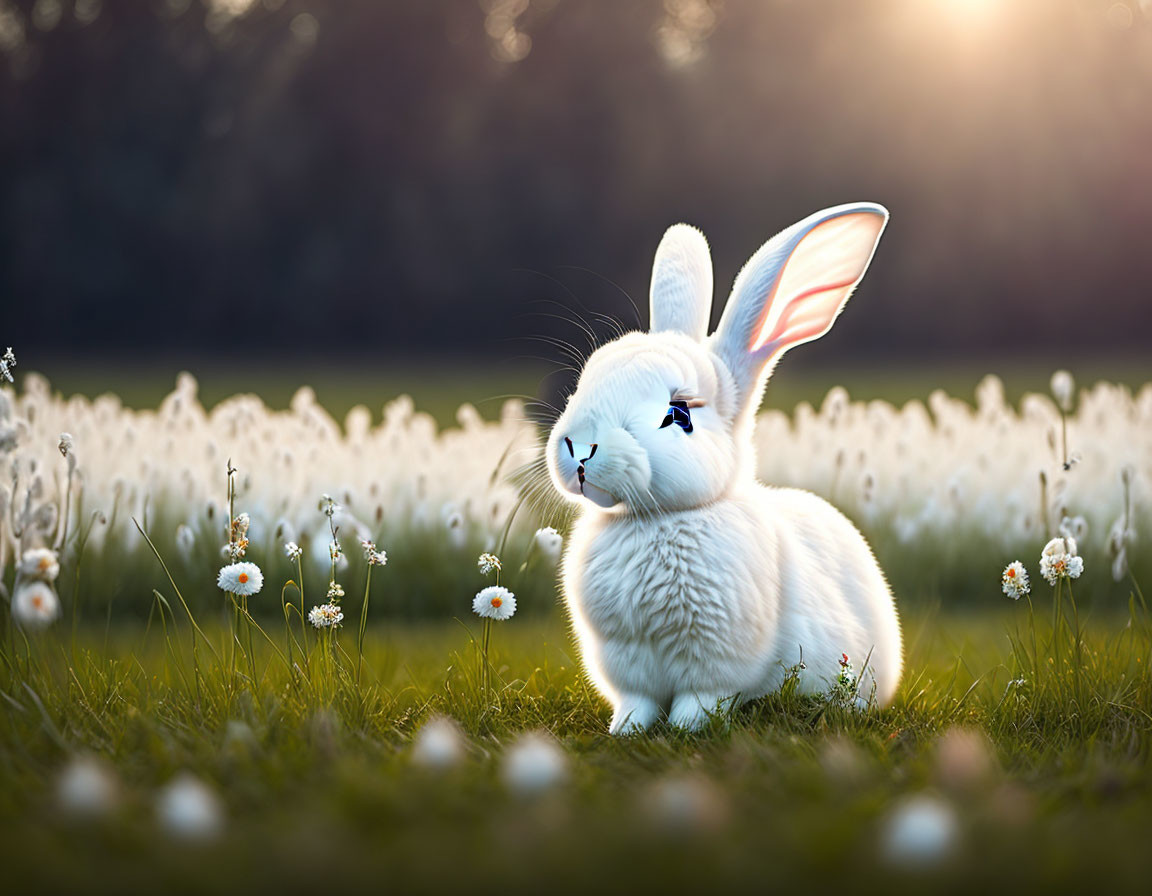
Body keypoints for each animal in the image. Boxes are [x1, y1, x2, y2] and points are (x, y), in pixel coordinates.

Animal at [543, 202, 903, 732]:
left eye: (679, 415)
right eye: (586, 381)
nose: (579, 447)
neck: (656, 519)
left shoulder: (716, 662)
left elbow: (701, 700)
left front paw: (685, 729)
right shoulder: (627, 664)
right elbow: (637, 702)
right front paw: (626, 731)